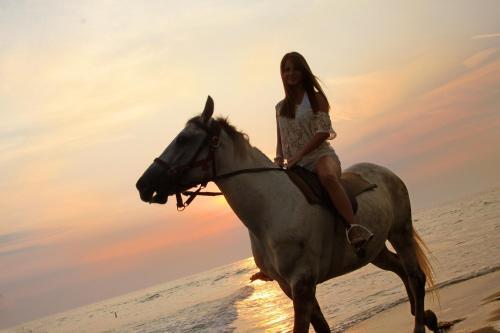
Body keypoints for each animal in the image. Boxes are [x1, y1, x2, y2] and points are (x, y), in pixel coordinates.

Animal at [135, 96, 440, 332]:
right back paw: (424, 316)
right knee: (400, 269)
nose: (143, 185)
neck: (269, 211)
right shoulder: (288, 286)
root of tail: (386, 172)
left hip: (400, 231)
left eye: (183, 139)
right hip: (374, 251)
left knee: (415, 276)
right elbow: (322, 328)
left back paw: (421, 323)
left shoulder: (302, 284)